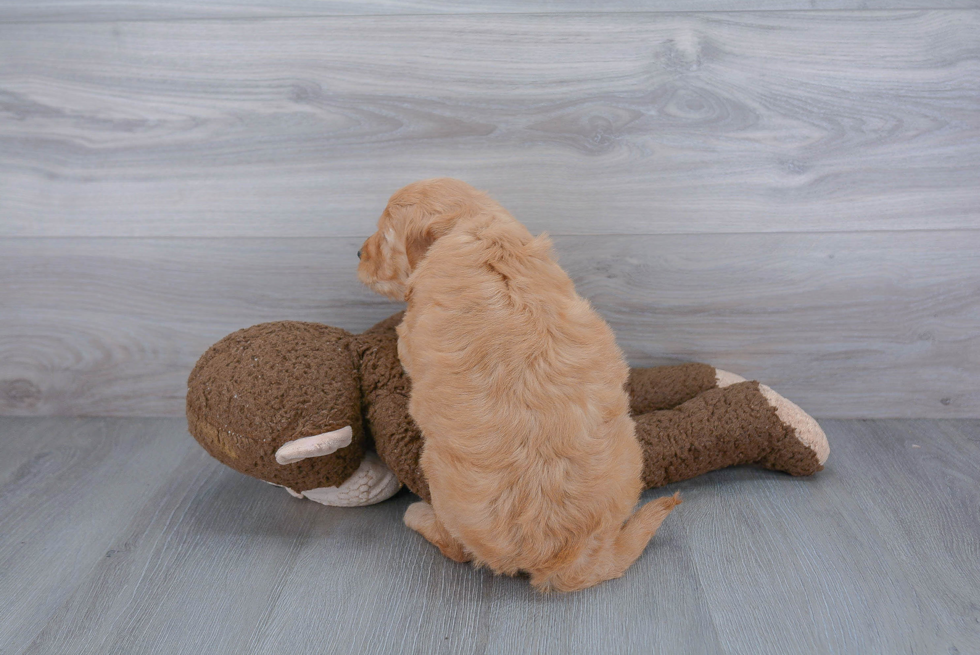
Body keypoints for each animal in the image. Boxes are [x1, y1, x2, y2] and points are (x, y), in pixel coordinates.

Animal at [356, 179, 676, 596]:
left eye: (383, 237)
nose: (358, 253)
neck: (476, 228)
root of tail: (566, 558)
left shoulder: (410, 335)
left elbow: (402, 338)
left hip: (438, 478)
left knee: (456, 548)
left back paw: (418, 514)